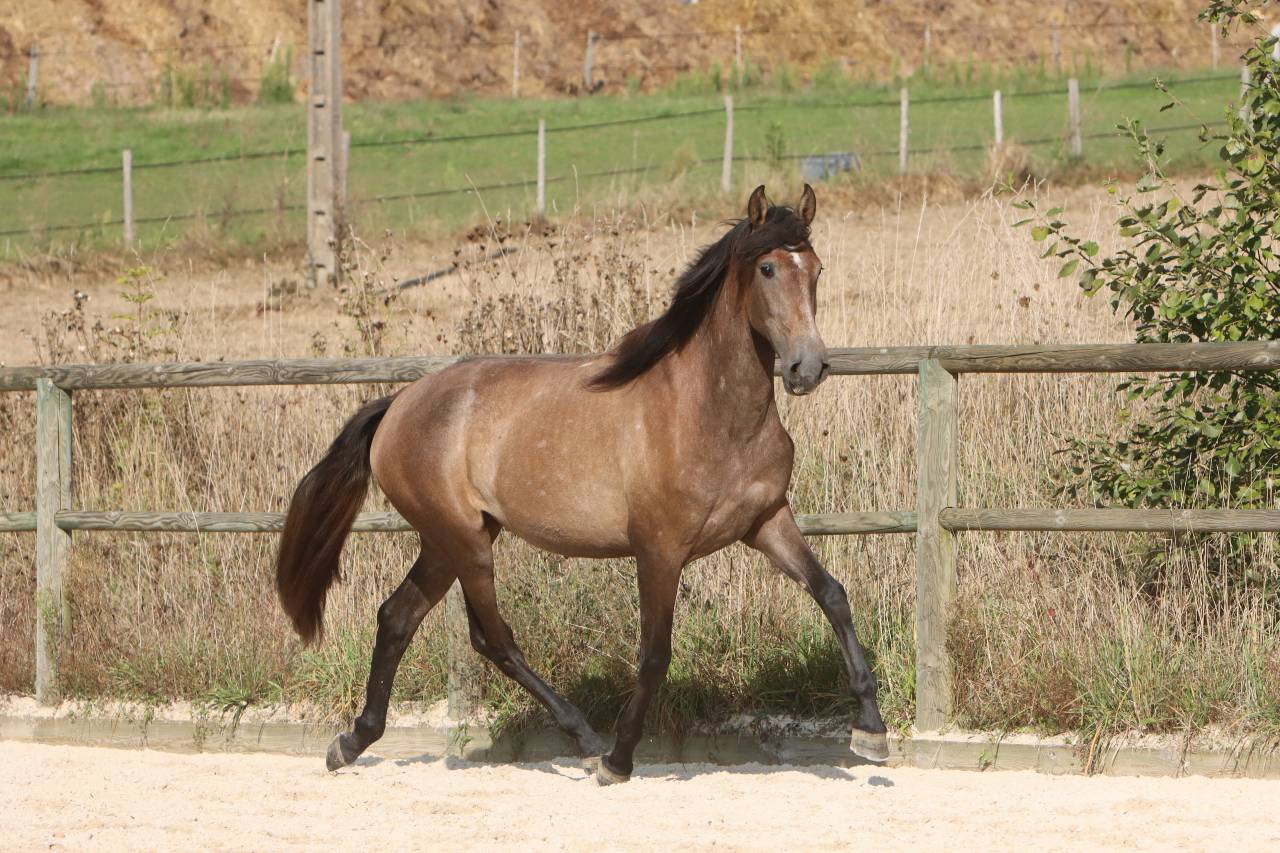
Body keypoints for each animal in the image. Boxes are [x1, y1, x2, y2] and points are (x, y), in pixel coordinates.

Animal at [275, 185, 889, 784]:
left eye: (816, 268)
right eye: (766, 268)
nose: (807, 368)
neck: (711, 413)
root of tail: (398, 404)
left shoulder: (767, 521)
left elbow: (833, 595)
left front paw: (872, 731)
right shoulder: (660, 548)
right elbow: (655, 652)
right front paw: (619, 761)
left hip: (452, 539)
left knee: (397, 618)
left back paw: (350, 743)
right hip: (462, 539)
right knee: (493, 638)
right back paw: (589, 741)